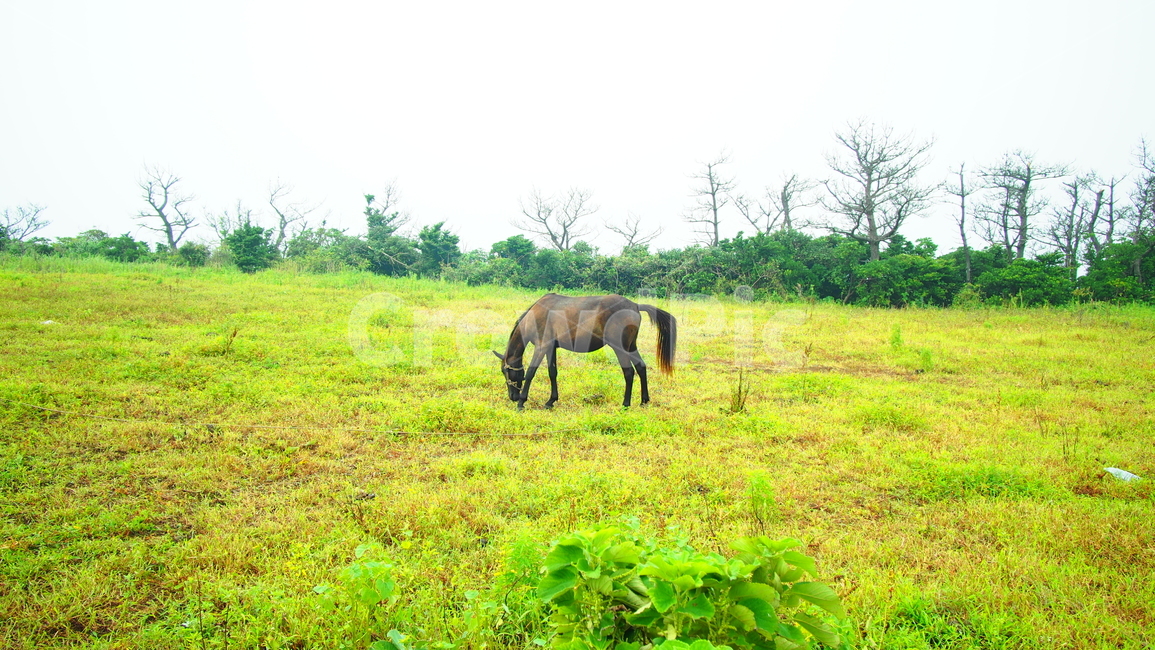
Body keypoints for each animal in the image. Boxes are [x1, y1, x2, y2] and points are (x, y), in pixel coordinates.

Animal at [493, 293, 677, 409]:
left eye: (505, 372)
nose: (512, 397)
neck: (535, 314)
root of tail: (635, 306)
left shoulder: (541, 347)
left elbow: (531, 372)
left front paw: (521, 402)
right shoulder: (551, 348)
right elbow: (553, 373)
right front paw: (551, 401)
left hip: (620, 348)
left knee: (629, 372)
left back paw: (626, 404)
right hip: (631, 347)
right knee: (641, 367)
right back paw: (644, 401)